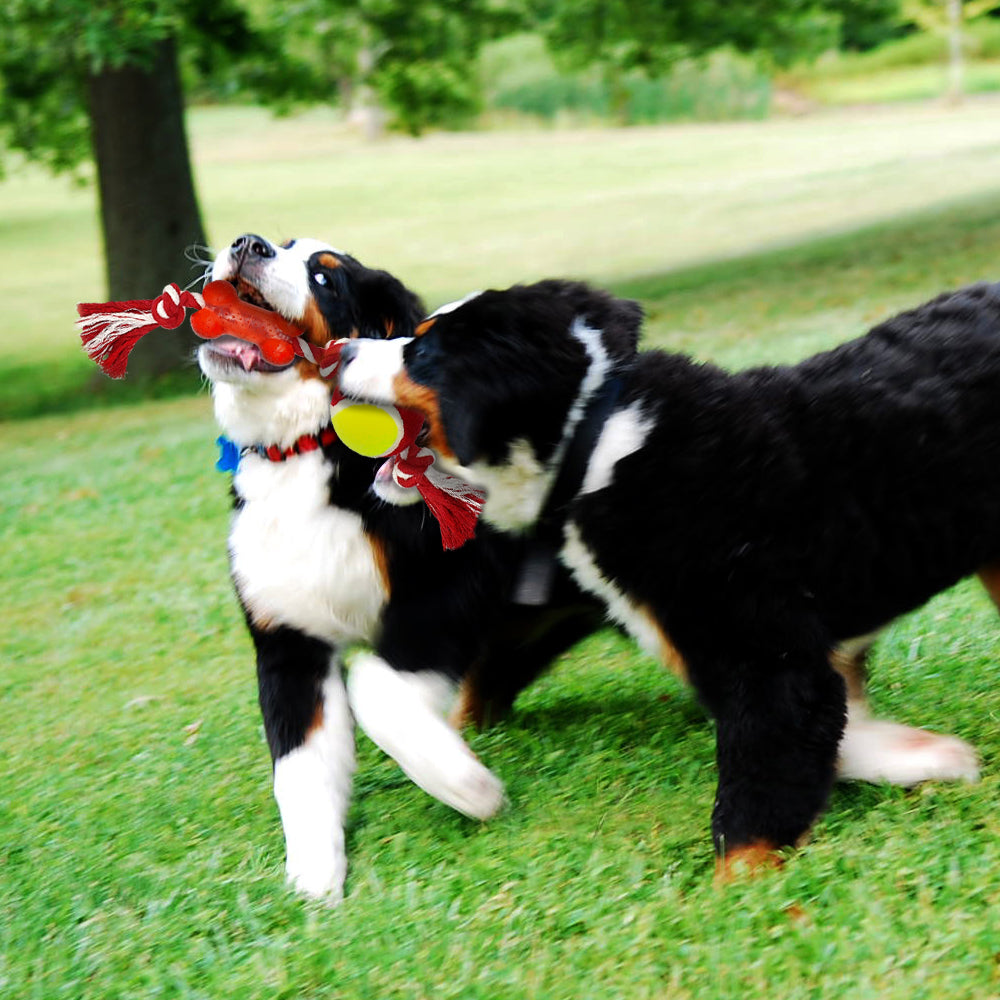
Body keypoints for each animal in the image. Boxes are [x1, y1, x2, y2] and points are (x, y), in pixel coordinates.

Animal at [197, 236, 600, 900]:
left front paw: (470, 788)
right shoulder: (288, 640)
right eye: (279, 244)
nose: (245, 244)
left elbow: (377, 690)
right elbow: (299, 766)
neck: (306, 453)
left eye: (324, 278)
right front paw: (314, 879)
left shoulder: (446, 592)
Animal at [334, 278, 984, 880]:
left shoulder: (762, 656)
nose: (339, 350)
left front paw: (737, 890)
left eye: (421, 350)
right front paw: (921, 754)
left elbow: (761, 779)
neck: (598, 439)